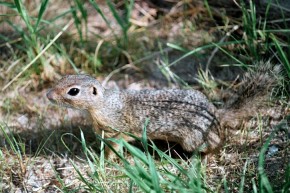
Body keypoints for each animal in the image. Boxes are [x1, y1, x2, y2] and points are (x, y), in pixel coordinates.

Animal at [47, 61, 284, 158]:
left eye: (73, 91)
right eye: (64, 77)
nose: (48, 95)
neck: (103, 106)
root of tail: (216, 115)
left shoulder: (116, 133)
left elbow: (114, 151)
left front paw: (105, 161)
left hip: (193, 139)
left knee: (216, 145)